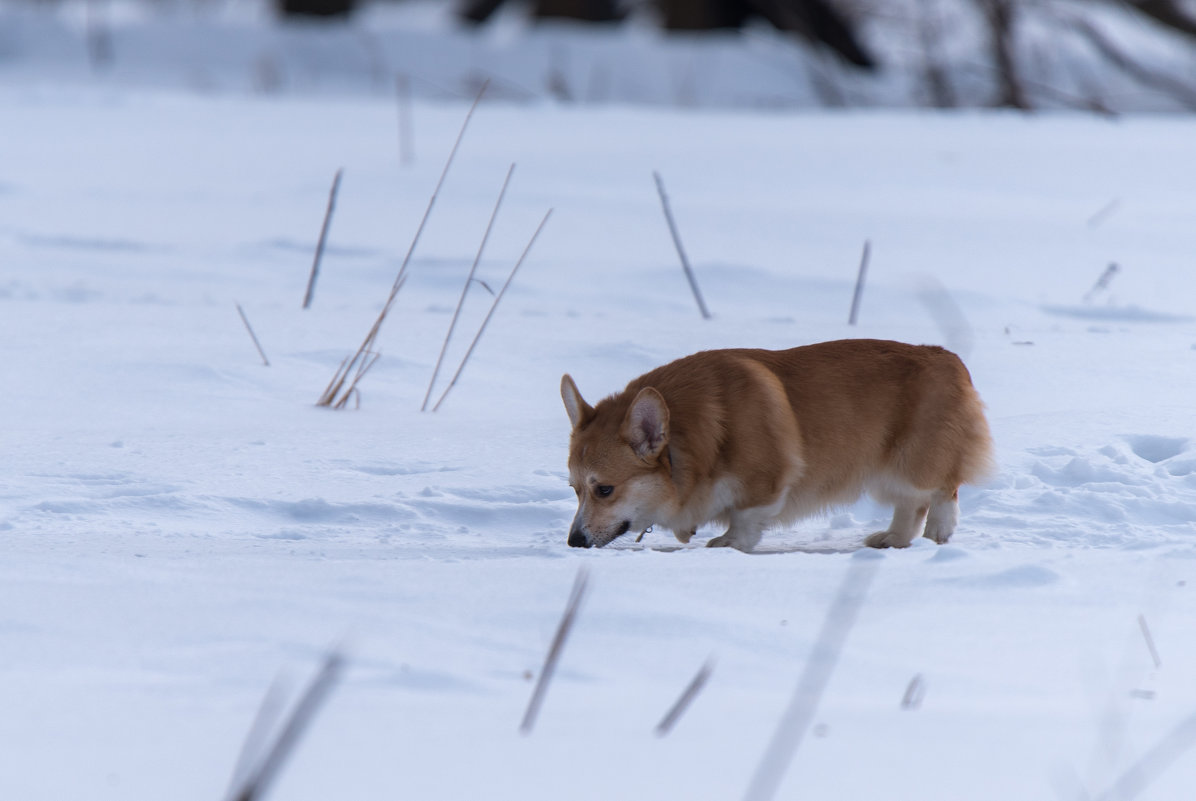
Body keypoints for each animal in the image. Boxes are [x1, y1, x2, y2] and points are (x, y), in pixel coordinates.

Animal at [564, 339, 995, 552]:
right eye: (575, 489)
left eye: (605, 489)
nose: (574, 542)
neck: (696, 442)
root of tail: (951, 359)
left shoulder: (766, 480)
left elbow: (745, 518)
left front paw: (727, 544)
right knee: (911, 503)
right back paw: (894, 539)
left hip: (910, 461)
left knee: (940, 490)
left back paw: (938, 532)